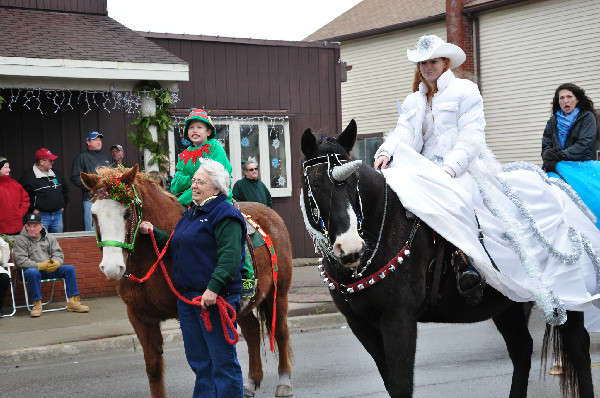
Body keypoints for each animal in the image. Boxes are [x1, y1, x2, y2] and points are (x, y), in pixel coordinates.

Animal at [81, 166, 292, 398]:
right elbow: (154, 369)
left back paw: (284, 381)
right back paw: (251, 383)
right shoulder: (140, 318)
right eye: (93, 214)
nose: (111, 268)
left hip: (277, 295)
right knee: (253, 331)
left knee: (280, 331)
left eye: (127, 213)